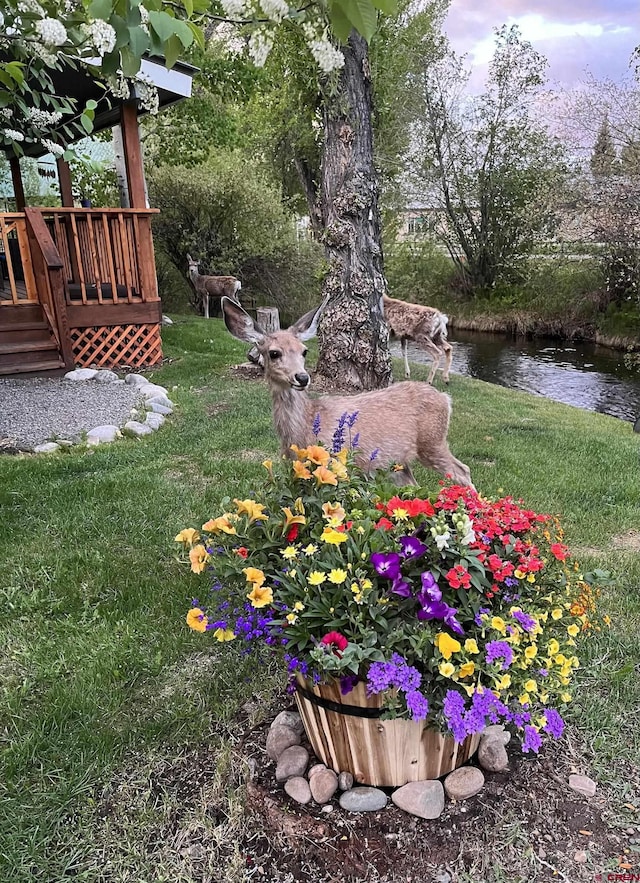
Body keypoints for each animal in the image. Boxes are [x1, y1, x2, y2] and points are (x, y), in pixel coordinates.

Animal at [222, 298, 472, 490]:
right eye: (274, 353)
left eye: (305, 351)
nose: (302, 377)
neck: (305, 426)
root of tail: (446, 400)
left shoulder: (338, 465)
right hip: (399, 462)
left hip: (432, 441)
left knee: (463, 470)